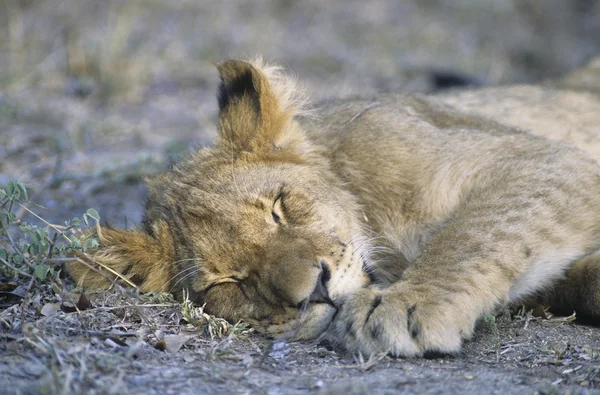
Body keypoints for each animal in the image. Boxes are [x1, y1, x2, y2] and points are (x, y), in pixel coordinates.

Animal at [69, 56, 600, 358]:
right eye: (227, 282)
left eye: (279, 208)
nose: (315, 291)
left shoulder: (543, 159)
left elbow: (473, 235)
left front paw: (406, 303)